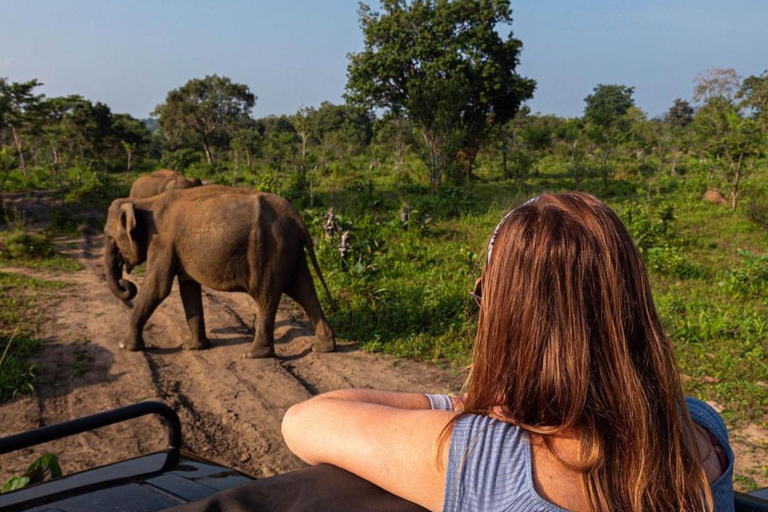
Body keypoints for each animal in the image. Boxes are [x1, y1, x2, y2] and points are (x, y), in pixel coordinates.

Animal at [103, 185, 336, 358]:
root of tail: (297, 218)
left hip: (270, 250)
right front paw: (194, 347)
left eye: (108, 236)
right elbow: (188, 287)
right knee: (304, 291)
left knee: (266, 296)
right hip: (290, 248)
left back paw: (254, 354)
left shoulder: (162, 241)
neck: (144, 202)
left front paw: (125, 346)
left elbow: (158, 287)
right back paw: (323, 348)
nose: (126, 283)